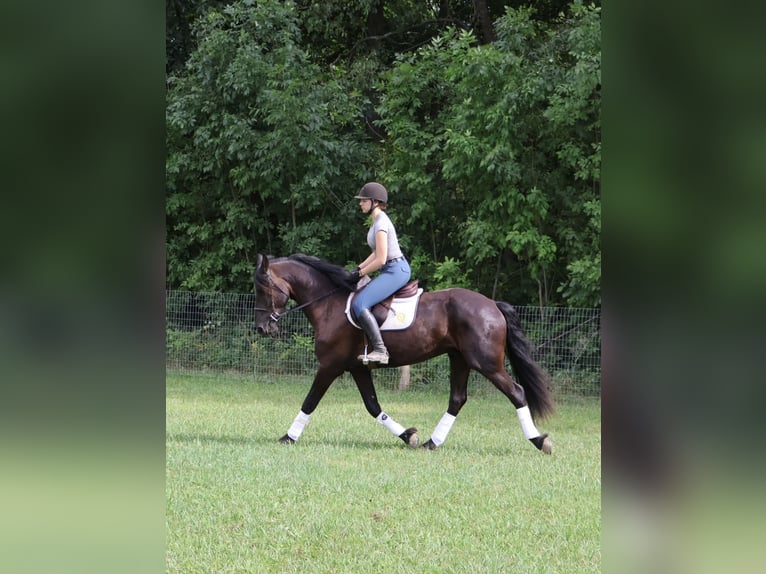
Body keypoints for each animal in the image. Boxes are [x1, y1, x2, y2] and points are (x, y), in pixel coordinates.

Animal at [253, 254, 555, 453]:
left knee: (516, 392)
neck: (329, 304)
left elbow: (310, 402)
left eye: (262, 288)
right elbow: (373, 407)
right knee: (457, 399)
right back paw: (432, 443)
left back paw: (540, 441)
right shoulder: (357, 368)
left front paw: (288, 437)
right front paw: (408, 436)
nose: (261, 327)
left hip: (486, 363)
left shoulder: (330, 366)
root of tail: (492, 304)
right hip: (459, 359)